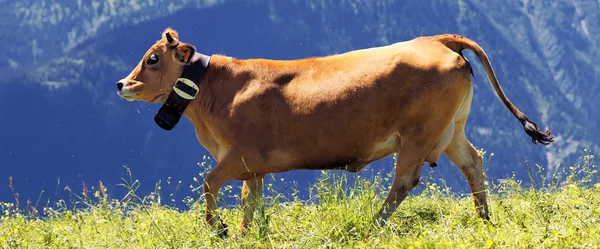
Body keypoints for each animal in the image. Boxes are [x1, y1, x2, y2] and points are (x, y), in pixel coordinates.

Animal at [116, 28, 552, 236]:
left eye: (152, 58)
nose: (122, 84)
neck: (216, 91)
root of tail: (435, 40)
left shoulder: (239, 156)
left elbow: (209, 185)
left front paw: (219, 229)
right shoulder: (252, 168)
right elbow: (248, 203)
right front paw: (241, 234)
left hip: (419, 133)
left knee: (405, 181)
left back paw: (374, 225)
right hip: (451, 130)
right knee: (473, 163)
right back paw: (484, 219)